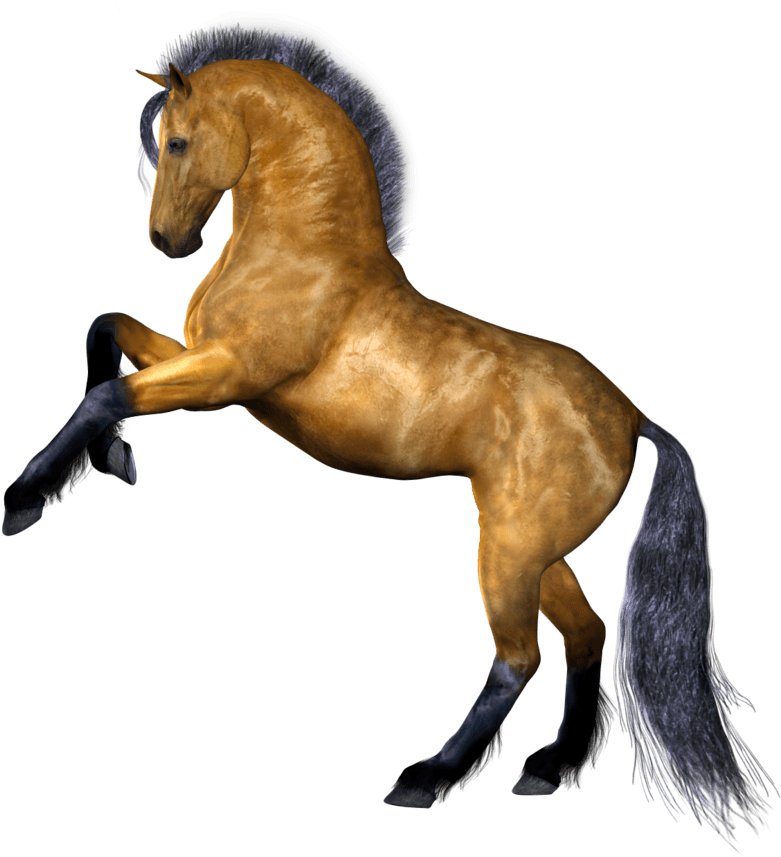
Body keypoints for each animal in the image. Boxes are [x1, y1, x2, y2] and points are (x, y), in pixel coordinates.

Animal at [2, 22, 777, 854]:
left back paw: (427, 777)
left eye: (176, 141)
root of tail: (631, 414)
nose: (164, 240)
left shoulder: (228, 379)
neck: (305, 253)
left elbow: (107, 390)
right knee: (584, 636)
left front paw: (25, 498)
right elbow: (104, 329)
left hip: (509, 550)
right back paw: (549, 767)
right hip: (535, 548)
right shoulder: (197, 359)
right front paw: (109, 458)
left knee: (519, 657)